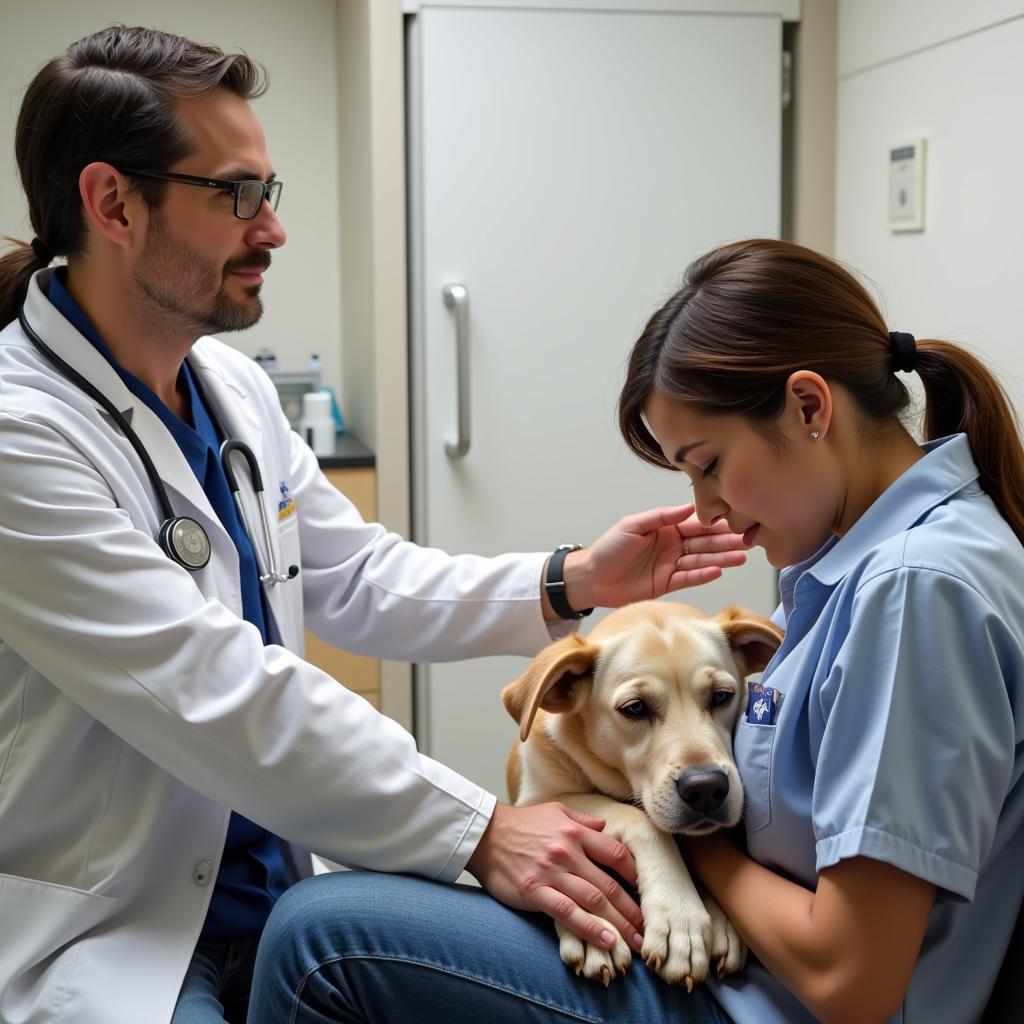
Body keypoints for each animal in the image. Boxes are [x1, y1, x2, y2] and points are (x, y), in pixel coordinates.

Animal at [503, 598, 782, 991]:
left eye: (721, 697)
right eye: (635, 708)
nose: (706, 788)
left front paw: (717, 920)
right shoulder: (537, 801)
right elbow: (638, 818)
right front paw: (674, 917)